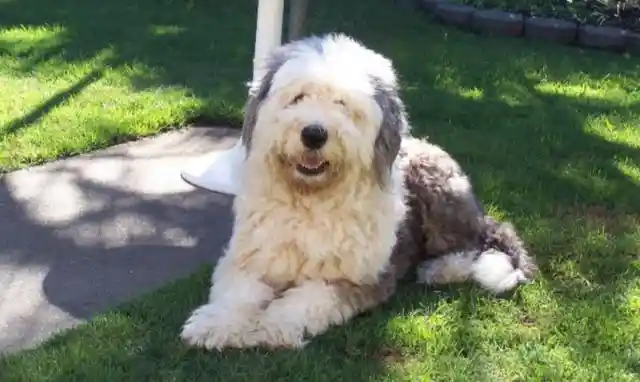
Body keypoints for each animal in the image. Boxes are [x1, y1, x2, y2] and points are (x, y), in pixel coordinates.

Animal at [179, 33, 536, 352]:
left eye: (342, 104)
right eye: (298, 97)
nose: (313, 134)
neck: (311, 198)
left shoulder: (351, 279)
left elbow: (306, 300)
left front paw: (273, 326)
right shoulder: (249, 260)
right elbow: (237, 294)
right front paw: (215, 325)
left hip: (439, 194)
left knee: (473, 243)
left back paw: (440, 269)